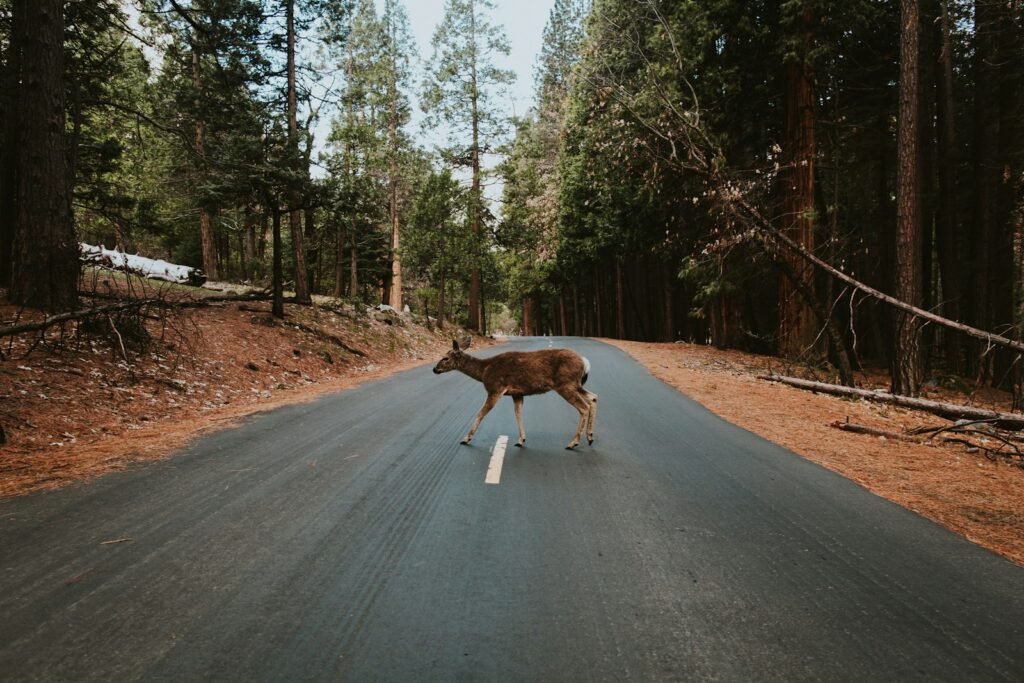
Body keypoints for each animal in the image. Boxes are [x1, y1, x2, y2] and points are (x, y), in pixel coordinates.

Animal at [432, 337, 598, 450]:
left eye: (445, 358)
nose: (434, 369)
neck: (484, 371)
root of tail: (584, 361)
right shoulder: (517, 393)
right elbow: (518, 413)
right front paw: (521, 440)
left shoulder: (495, 388)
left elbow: (481, 413)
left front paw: (466, 439)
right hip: (575, 384)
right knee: (593, 398)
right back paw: (590, 437)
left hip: (565, 384)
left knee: (584, 407)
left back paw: (573, 443)